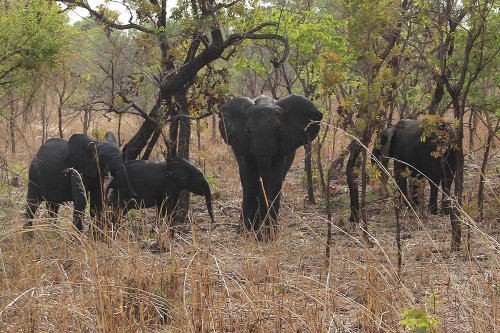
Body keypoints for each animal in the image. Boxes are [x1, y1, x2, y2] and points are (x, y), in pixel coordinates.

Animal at [220, 92, 322, 235]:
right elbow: (251, 182)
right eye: (248, 131)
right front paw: (246, 233)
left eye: (278, 131)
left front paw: (269, 235)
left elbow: (274, 182)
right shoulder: (244, 145)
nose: (260, 231)